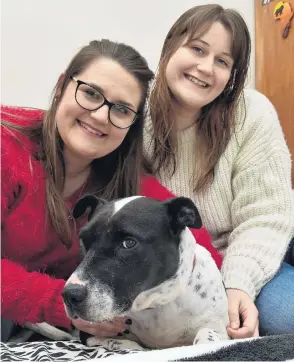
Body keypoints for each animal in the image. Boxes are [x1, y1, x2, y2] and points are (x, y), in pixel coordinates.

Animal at [60, 195, 229, 350]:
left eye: (128, 243)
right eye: (83, 240)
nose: (69, 295)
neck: (157, 304)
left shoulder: (218, 328)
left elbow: (207, 334)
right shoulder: (90, 333)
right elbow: (122, 343)